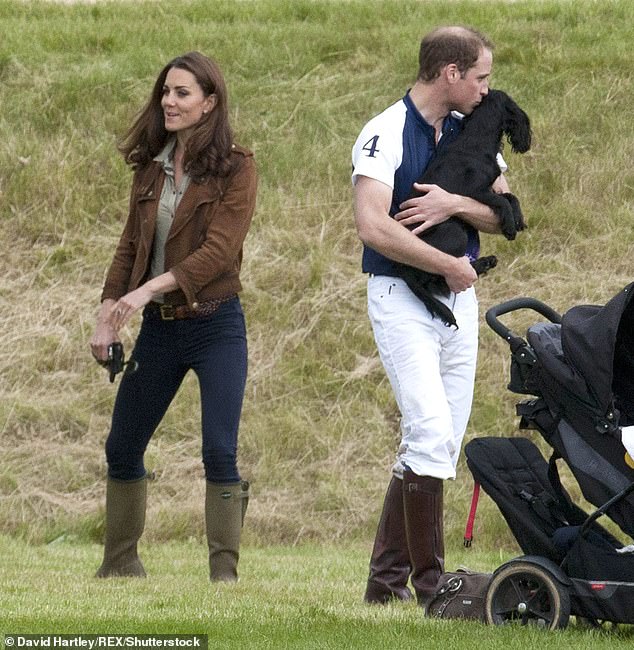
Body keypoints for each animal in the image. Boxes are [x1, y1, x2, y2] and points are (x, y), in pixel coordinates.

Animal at [398, 87, 532, 324]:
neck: (476, 139)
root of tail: (402, 268)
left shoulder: (490, 188)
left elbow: (511, 197)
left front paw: (518, 219)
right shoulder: (475, 191)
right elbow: (502, 200)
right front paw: (509, 226)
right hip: (454, 234)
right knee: (438, 279)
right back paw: (483, 264)